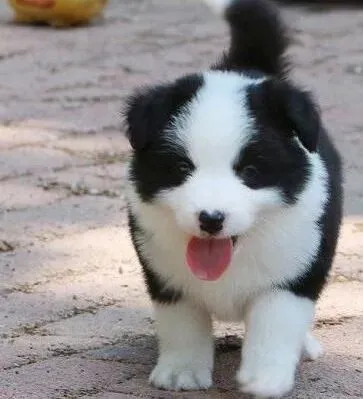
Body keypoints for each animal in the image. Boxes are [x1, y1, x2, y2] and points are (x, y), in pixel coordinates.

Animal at [123, 1, 342, 398]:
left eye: (251, 171)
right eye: (182, 167)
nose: (211, 218)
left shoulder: (294, 270)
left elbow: (275, 323)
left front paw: (265, 378)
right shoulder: (165, 274)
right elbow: (182, 321)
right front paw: (181, 372)